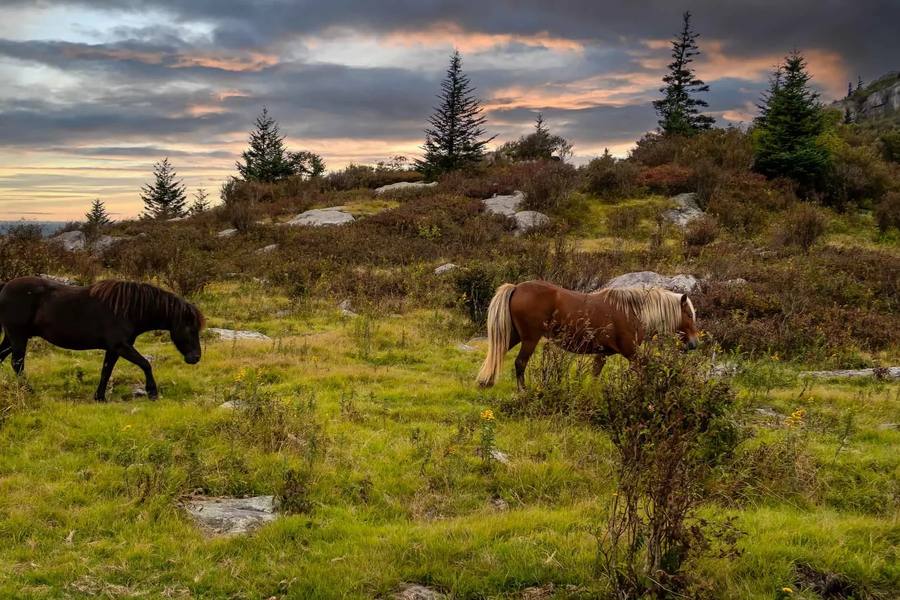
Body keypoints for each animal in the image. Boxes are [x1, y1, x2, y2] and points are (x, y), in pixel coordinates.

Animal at [0, 277, 204, 401]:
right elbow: (146, 364)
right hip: (18, 337)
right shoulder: (121, 346)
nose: (195, 358)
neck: (128, 309)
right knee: (17, 364)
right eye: (190, 328)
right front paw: (152, 392)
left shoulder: (114, 349)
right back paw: (29, 391)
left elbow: (106, 370)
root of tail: (4, 288)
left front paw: (99, 397)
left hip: (12, 338)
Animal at [476, 280, 699, 389]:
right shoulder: (632, 353)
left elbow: (594, 376)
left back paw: (486, 381)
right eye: (689, 314)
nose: (694, 344)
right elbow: (643, 372)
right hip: (530, 338)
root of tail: (516, 288)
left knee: (497, 354)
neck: (632, 311)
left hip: (514, 336)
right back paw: (522, 390)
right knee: (520, 363)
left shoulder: (602, 354)